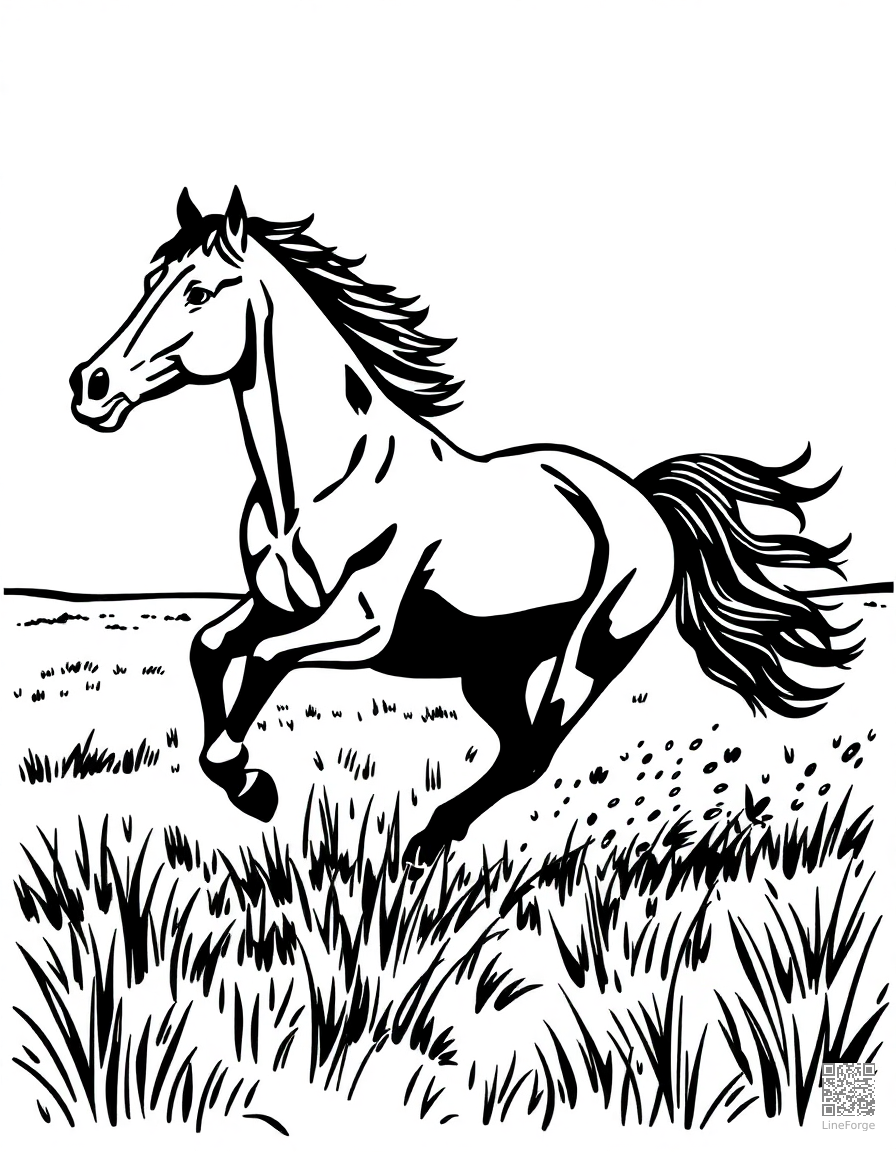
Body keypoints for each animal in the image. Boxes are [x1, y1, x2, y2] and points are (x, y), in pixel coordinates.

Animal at [70, 187, 866, 866]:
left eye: (198, 292)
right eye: (149, 280)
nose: (90, 386)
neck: (324, 482)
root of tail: (644, 500)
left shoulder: (361, 628)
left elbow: (263, 663)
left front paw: (251, 784)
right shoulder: (276, 604)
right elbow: (208, 648)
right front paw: (247, 785)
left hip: (591, 653)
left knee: (535, 753)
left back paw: (427, 840)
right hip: (493, 668)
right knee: (516, 747)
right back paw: (429, 841)